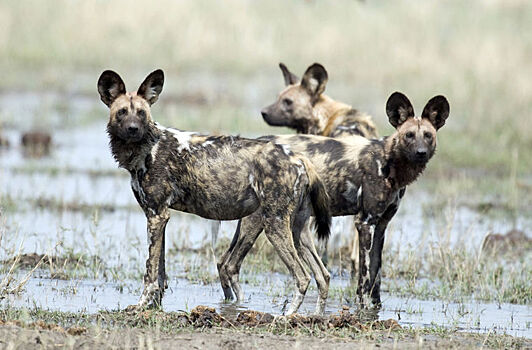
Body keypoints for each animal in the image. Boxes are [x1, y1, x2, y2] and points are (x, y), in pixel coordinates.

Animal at [96, 68, 332, 314]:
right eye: (122, 112)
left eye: (141, 113)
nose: (133, 129)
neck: (148, 147)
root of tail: (299, 158)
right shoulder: (159, 217)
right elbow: (160, 271)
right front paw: (155, 306)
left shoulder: (156, 216)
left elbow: (150, 272)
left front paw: (141, 306)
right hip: (298, 230)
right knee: (322, 276)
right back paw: (315, 316)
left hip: (274, 225)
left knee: (302, 277)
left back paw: (286, 316)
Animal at [218, 92, 450, 306]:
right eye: (409, 135)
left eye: (428, 135)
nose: (421, 153)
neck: (389, 163)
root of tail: (260, 140)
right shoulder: (364, 223)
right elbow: (364, 276)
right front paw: (362, 308)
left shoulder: (381, 226)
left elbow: (376, 271)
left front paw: (376, 307)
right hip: (260, 220)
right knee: (230, 264)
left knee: (222, 262)